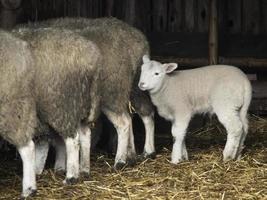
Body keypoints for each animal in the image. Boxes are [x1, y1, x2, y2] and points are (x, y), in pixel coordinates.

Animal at [11, 27, 102, 197]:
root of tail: (93, 57)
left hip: (62, 104)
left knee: (72, 140)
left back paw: (71, 176)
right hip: (78, 104)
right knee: (84, 134)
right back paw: (83, 169)